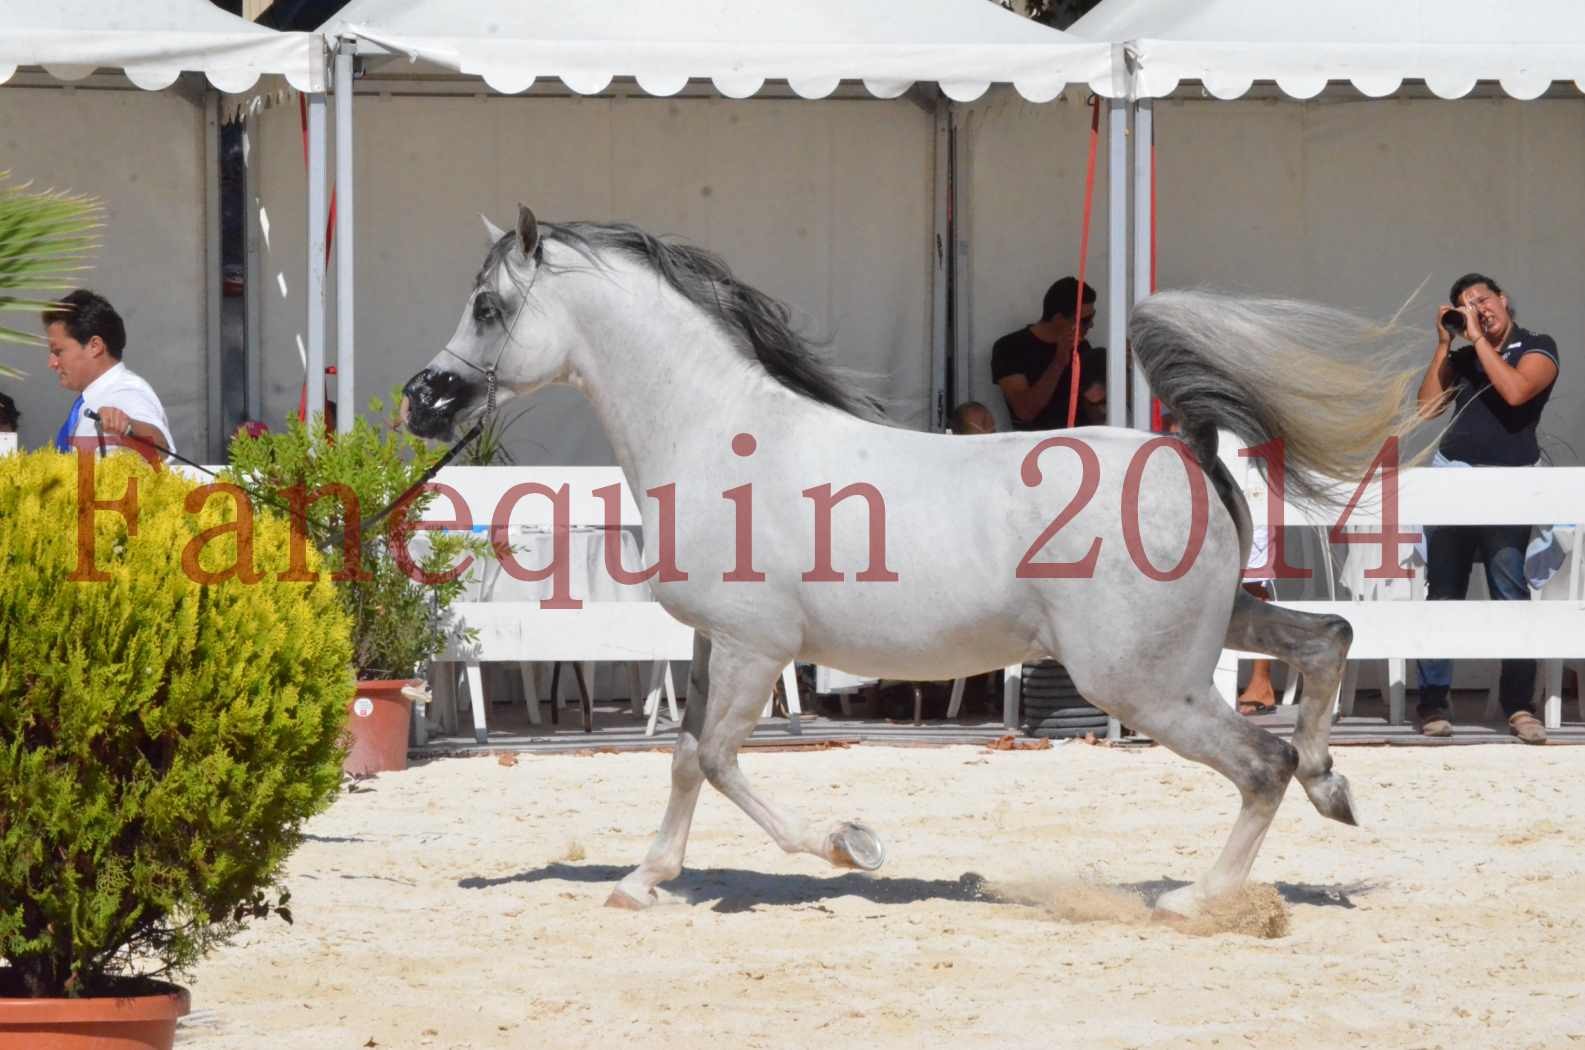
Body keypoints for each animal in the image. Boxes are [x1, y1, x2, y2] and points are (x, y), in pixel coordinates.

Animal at [399, 209, 1426, 919]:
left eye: (488, 306)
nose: (422, 400)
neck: (716, 433)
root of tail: (1191, 452)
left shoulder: (754, 648)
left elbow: (721, 760)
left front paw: (851, 845)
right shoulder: (711, 644)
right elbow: (688, 758)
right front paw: (642, 879)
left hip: (1141, 682)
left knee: (1261, 762)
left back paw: (1195, 899)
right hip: (1208, 634)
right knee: (1326, 640)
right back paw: (1333, 786)